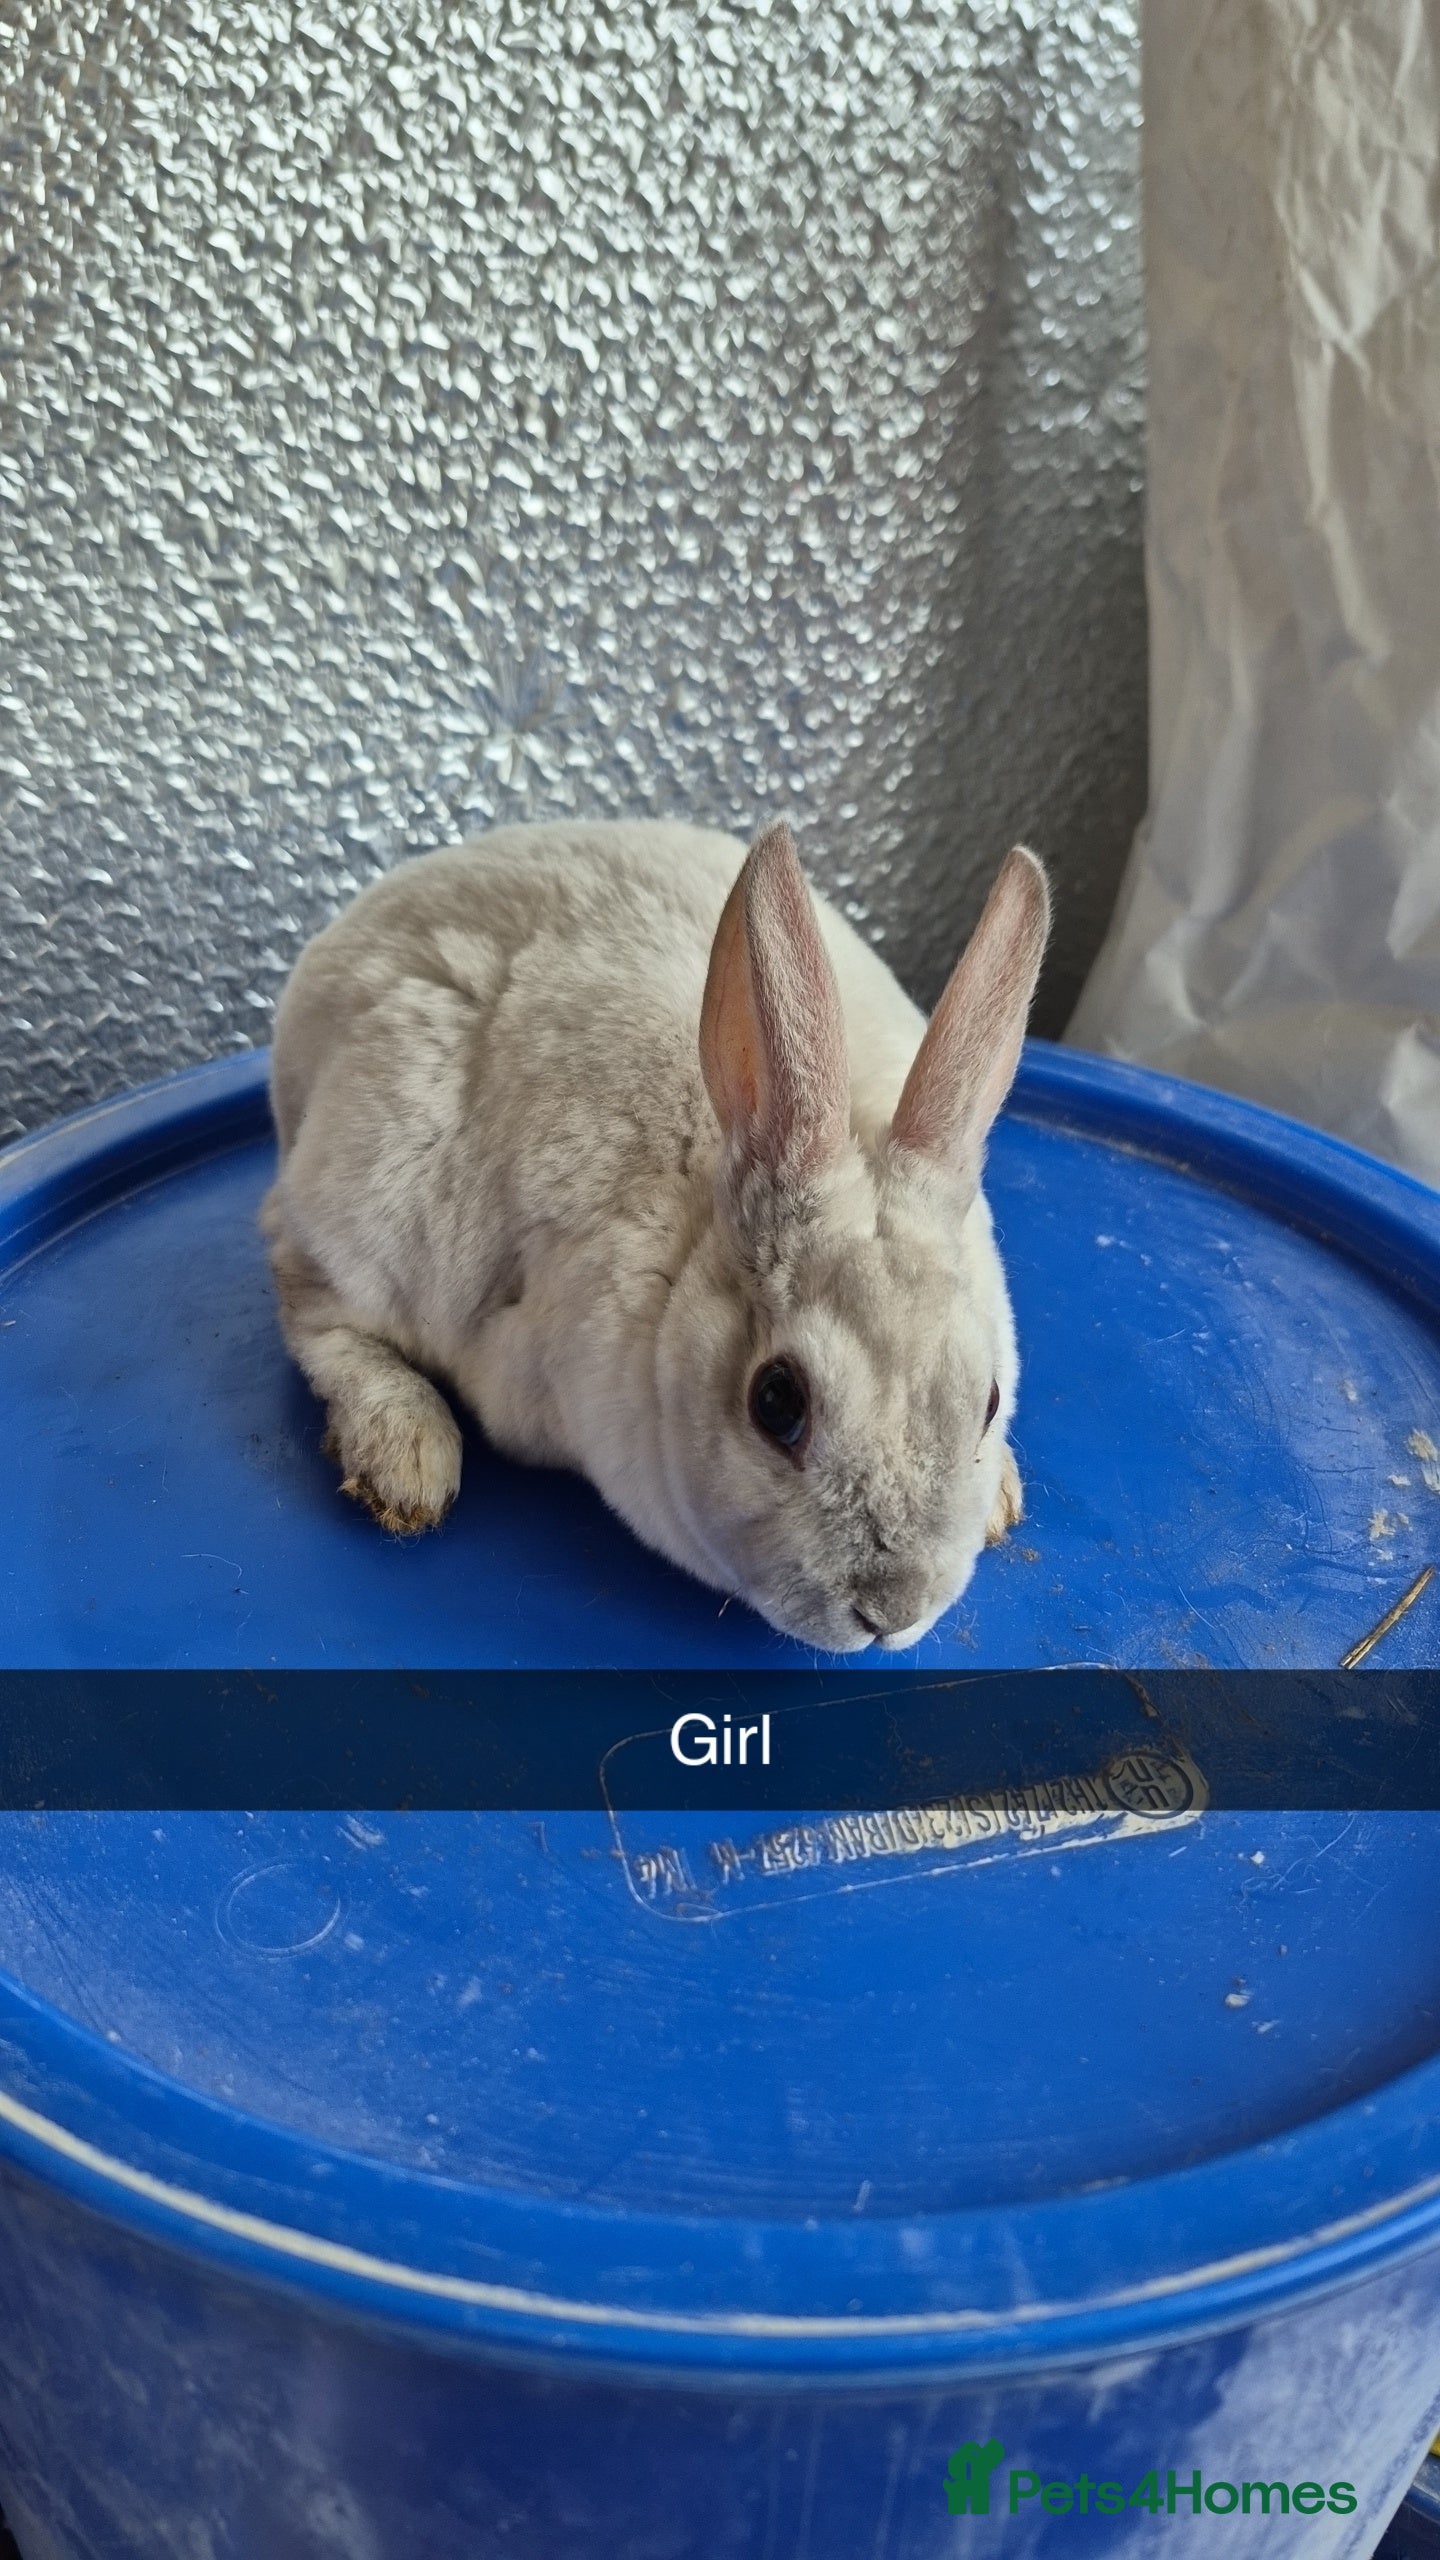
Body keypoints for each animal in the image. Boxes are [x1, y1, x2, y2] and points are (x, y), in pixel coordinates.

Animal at [261, 818, 1050, 1653]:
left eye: (990, 1400)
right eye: (777, 1403)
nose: (892, 1611)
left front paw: (1000, 1501)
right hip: (365, 1195)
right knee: (307, 1297)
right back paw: (406, 1462)